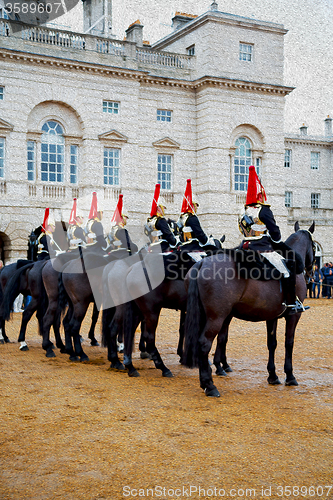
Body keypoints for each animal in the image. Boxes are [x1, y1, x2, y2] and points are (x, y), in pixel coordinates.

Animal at [182, 223, 314, 398]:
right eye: (314, 246)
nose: (312, 272)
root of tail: (201, 263)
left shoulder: (271, 316)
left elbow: (272, 343)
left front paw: (273, 376)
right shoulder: (294, 316)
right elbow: (289, 343)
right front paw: (290, 376)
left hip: (204, 315)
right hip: (216, 317)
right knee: (204, 343)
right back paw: (209, 385)